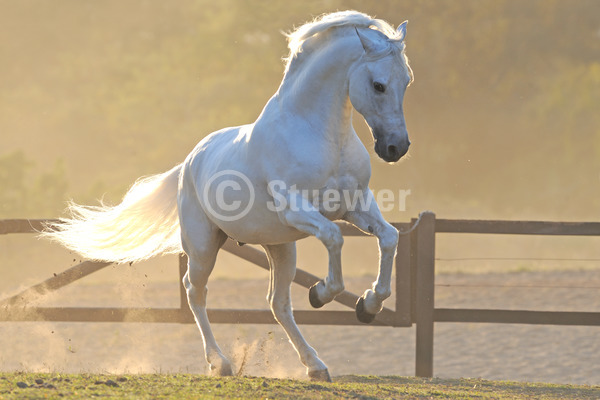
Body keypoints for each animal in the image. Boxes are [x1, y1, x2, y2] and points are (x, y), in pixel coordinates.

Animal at [44, 10, 412, 382]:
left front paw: (368, 305)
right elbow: (335, 238)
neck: (319, 135)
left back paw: (316, 366)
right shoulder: (297, 211)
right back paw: (220, 363)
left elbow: (389, 237)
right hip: (203, 245)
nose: (396, 147)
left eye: (406, 81)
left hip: (280, 246)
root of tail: (190, 161)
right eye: (379, 85)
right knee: (196, 291)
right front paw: (321, 293)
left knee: (278, 303)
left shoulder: (356, 205)